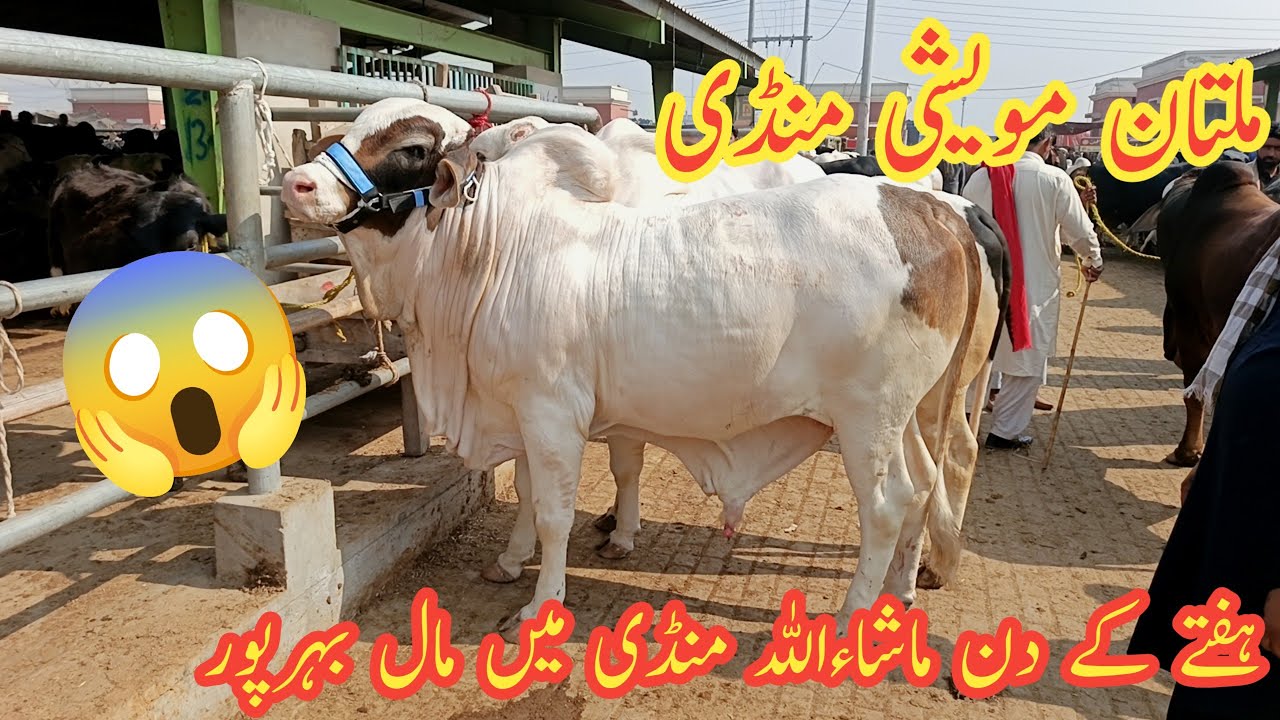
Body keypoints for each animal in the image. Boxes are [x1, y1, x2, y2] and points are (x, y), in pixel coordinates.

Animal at [280, 98, 1005, 636]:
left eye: (411, 149)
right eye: (354, 130)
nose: (297, 182)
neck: (492, 249)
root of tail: (935, 211)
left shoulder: (553, 413)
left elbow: (557, 512)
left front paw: (542, 604)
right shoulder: (523, 411)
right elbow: (528, 492)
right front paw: (511, 560)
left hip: (867, 418)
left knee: (886, 506)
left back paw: (855, 615)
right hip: (909, 413)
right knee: (924, 487)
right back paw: (899, 593)